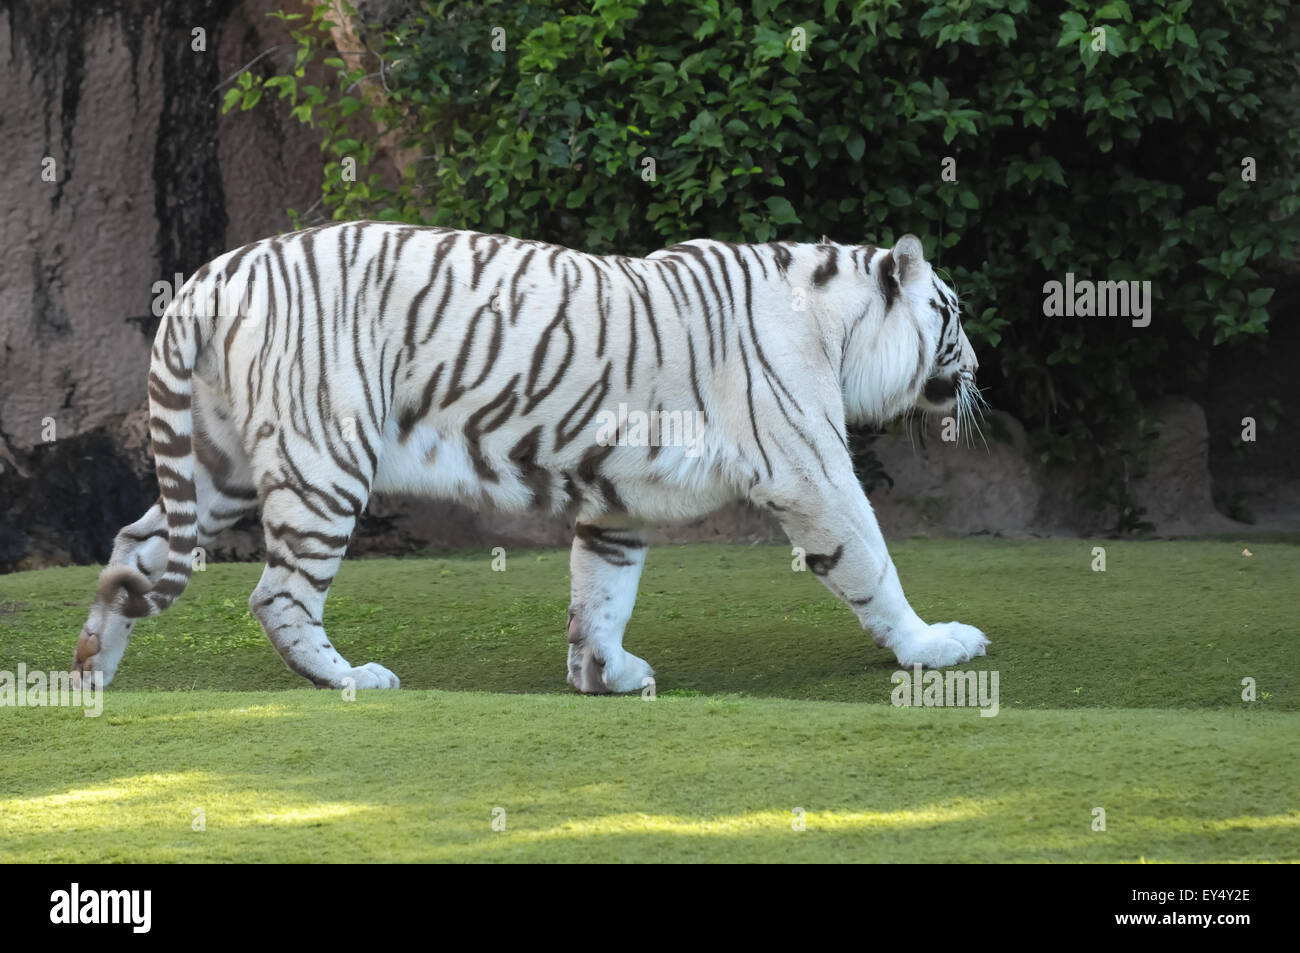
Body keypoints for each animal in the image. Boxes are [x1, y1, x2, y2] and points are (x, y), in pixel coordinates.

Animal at [72, 221, 989, 694]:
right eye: (950, 314)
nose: (979, 367)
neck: (838, 325)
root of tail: (212, 274)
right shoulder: (811, 470)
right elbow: (871, 562)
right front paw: (934, 645)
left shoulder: (621, 496)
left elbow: (602, 592)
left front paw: (604, 671)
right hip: (324, 462)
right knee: (277, 595)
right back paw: (352, 676)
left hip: (218, 464)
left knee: (134, 547)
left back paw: (90, 666)